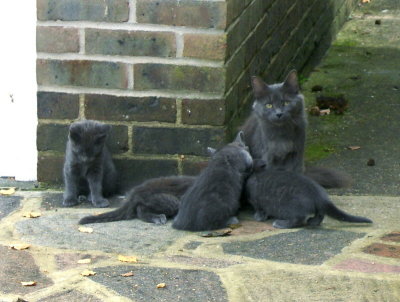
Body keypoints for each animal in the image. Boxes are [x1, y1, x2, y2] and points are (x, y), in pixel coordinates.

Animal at [245, 160, 374, 229]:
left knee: (298, 219)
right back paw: (313, 222)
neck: (258, 173)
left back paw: (281, 223)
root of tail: (320, 195)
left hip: (291, 207)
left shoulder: (256, 201)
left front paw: (258, 217)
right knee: (320, 214)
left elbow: (260, 209)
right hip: (318, 207)